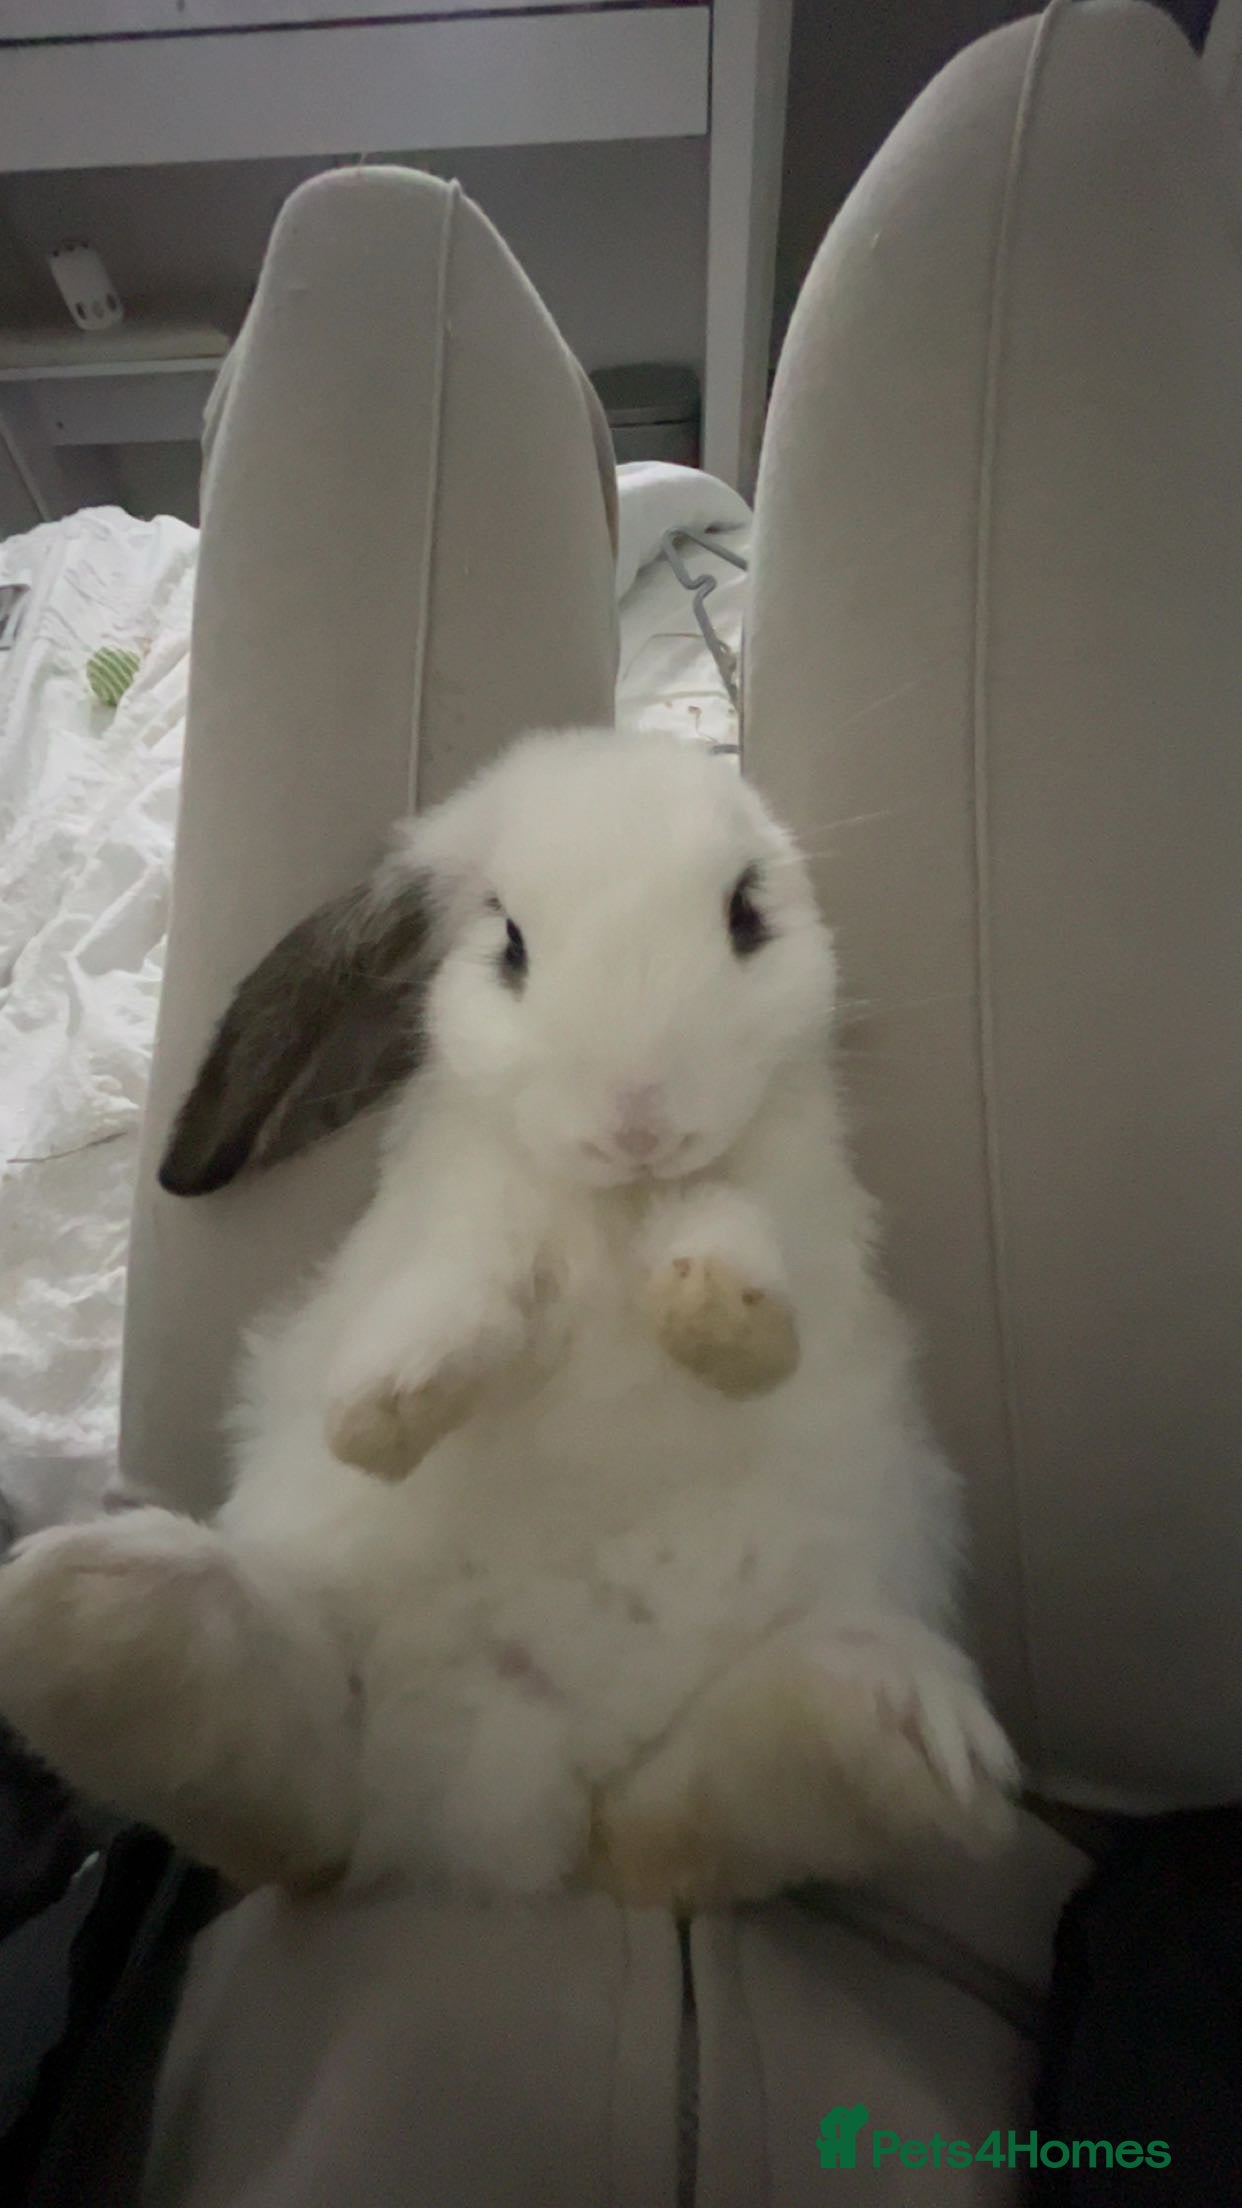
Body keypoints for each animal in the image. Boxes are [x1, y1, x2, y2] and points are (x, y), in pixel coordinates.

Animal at [0, 730, 1017, 1907]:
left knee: (660, 1836)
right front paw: (382, 1415)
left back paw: (899, 1736)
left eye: (746, 914)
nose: (639, 1119)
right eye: (510, 945)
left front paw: (724, 1326)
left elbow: (733, 1231)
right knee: (294, 1815)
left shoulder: (785, 1201)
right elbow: (466, 1294)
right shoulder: (472, 1217)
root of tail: (504, 1814)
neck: (616, 1207)